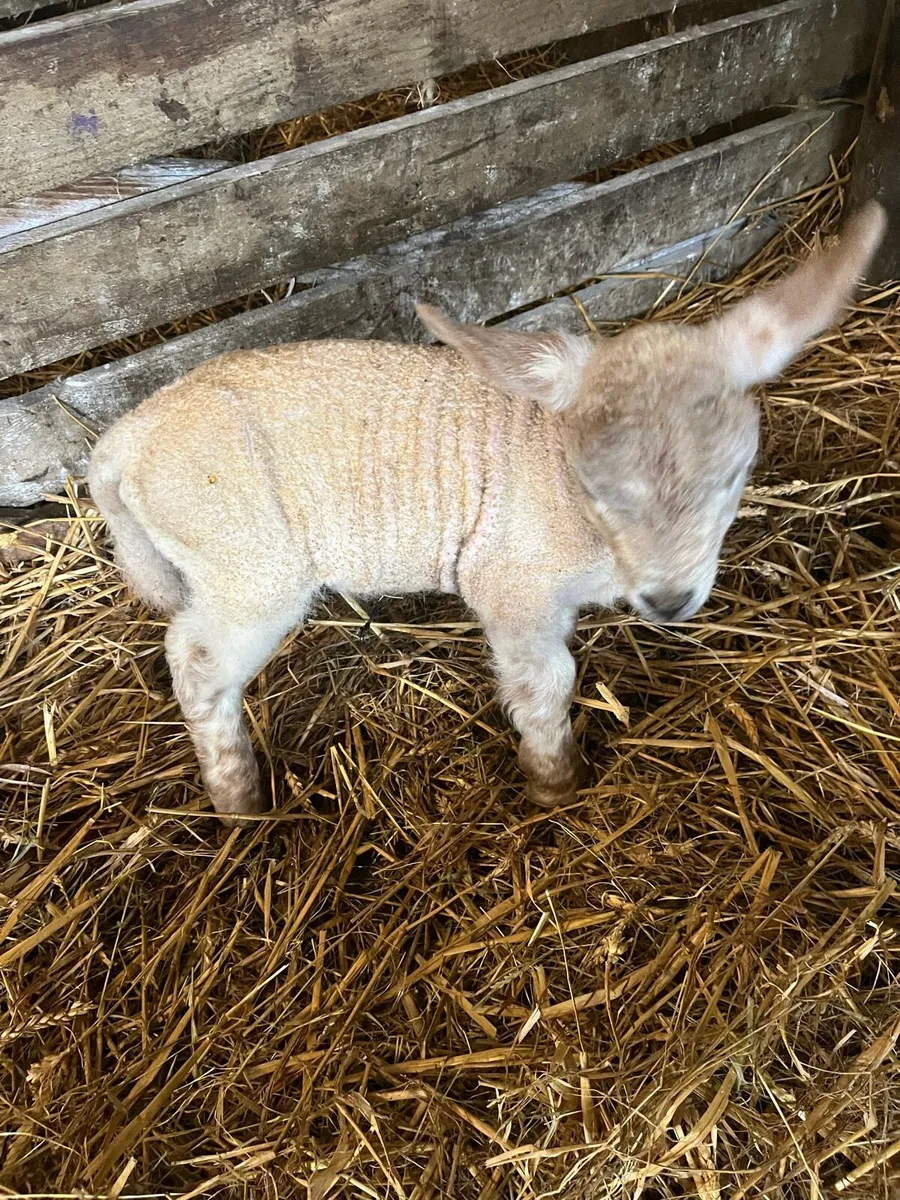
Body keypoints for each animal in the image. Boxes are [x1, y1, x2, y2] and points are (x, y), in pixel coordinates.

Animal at [88, 203, 885, 819]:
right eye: (595, 484)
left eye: (734, 476)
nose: (669, 601)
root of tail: (125, 439)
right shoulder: (512, 580)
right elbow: (545, 685)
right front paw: (556, 782)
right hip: (246, 557)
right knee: (196, 662)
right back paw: (240, 800)